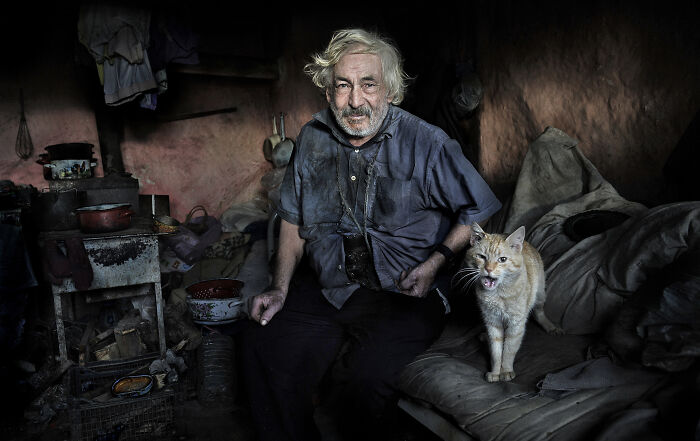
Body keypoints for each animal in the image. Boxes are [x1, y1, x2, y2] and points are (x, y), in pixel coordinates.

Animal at [460, 223, 564, 382]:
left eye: (502, 259)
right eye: (481, 257)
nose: (488, 269)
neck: (498, 295)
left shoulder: (516, 324)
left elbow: (509, 349)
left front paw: (507, 370)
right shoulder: (493, 322)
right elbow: (496, 351)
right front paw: (495, 372)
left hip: (540, 294)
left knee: (539, 312)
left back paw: (550, 326)